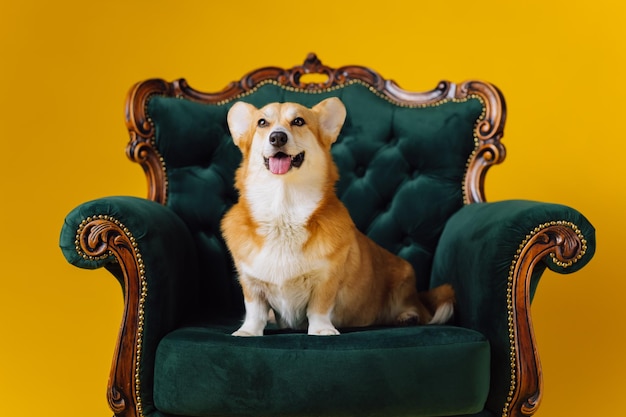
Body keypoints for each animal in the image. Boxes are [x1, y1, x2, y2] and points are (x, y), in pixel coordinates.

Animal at [221, 97, 454, 334]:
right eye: (262, 123)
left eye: (298, 121)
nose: (277, 137)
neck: (283, 210)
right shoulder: (251, 283)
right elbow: (255, 311)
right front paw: (248, 331)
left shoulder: (326, 279)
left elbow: (319, 308)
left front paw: (321, 330)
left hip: (403, 283)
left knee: (418, 311)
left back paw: (408, 317)